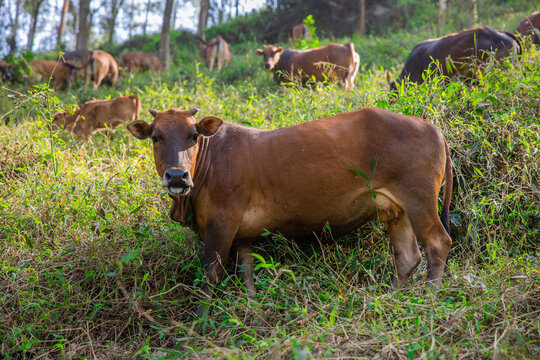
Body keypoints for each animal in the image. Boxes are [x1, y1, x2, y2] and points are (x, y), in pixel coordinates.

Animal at [129, 106, 454, 312]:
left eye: (193, 136)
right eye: (156, 137)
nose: (176, 176)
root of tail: (433, 128)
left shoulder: (221, 222)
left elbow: (209, 275)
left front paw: (199, 322)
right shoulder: (242, 234)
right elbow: (247, 275)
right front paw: (253, 313)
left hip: (419, 200)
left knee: (437, 243)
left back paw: (430, 300)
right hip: (397, 211)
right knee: (407, 258)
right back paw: (389, 299)